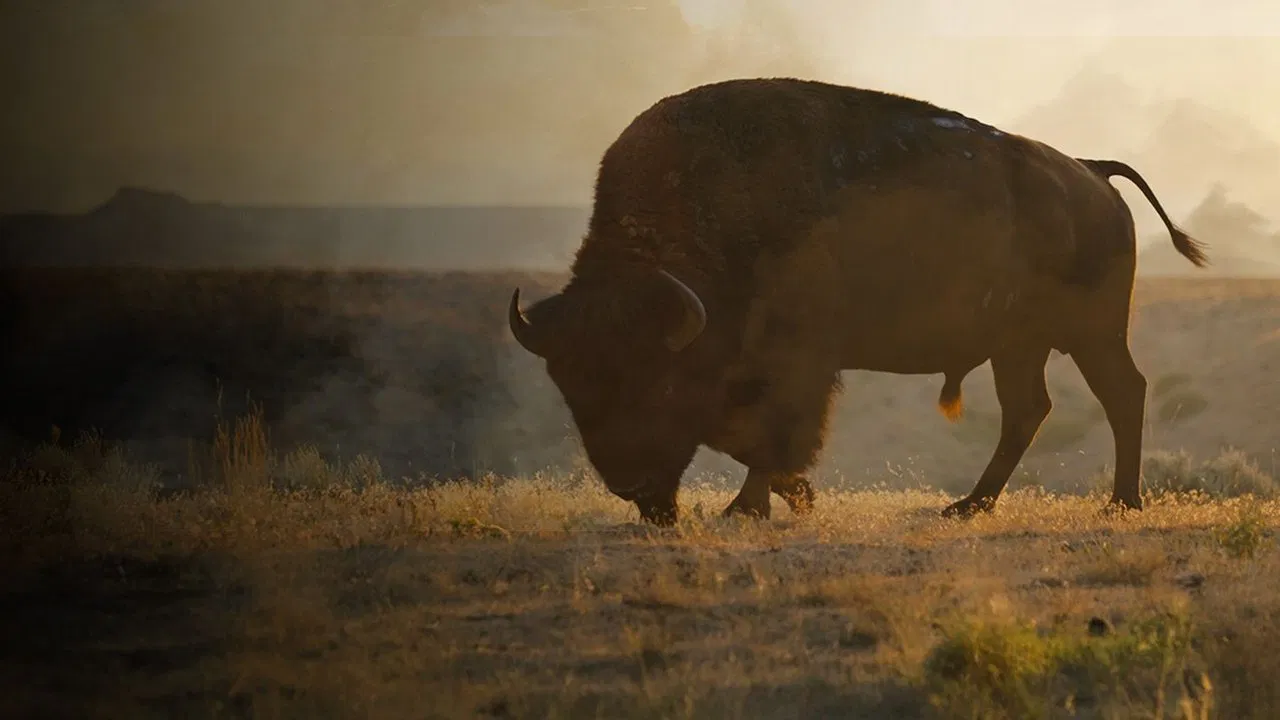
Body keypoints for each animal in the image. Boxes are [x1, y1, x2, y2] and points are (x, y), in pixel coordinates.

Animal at [508, 77, 1209, 526]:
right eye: (570, 387)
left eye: (660, 382)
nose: (633, 488)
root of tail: (1091, 171)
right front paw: (785, 498)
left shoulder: (797, 365)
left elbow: (776, 436)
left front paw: (752, 507)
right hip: (1019, 346)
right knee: (1029, 410)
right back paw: (968, 506)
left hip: (1092, 334)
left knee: (1121, 394)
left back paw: (1120, 503)